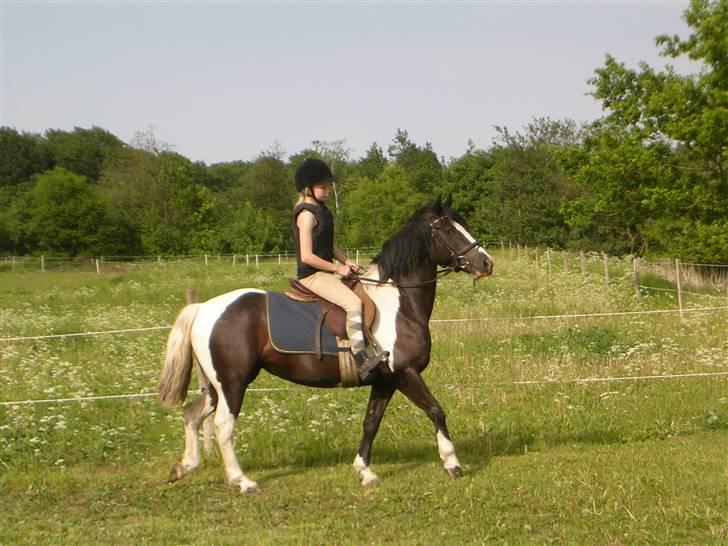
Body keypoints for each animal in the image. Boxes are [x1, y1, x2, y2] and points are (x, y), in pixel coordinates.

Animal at [158, 197, 494, 493]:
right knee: (223, 426)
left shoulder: (385, 381)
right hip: (233, 383)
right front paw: (452, 463)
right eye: (449, 230)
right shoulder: (406, 373)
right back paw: (243, 482)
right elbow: (436, 411)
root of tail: (203, 308)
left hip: (216, 386)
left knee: (192, 413)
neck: (399, 302)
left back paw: (183, 467)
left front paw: (364, 471)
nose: (487, 263)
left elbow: (371, 422)